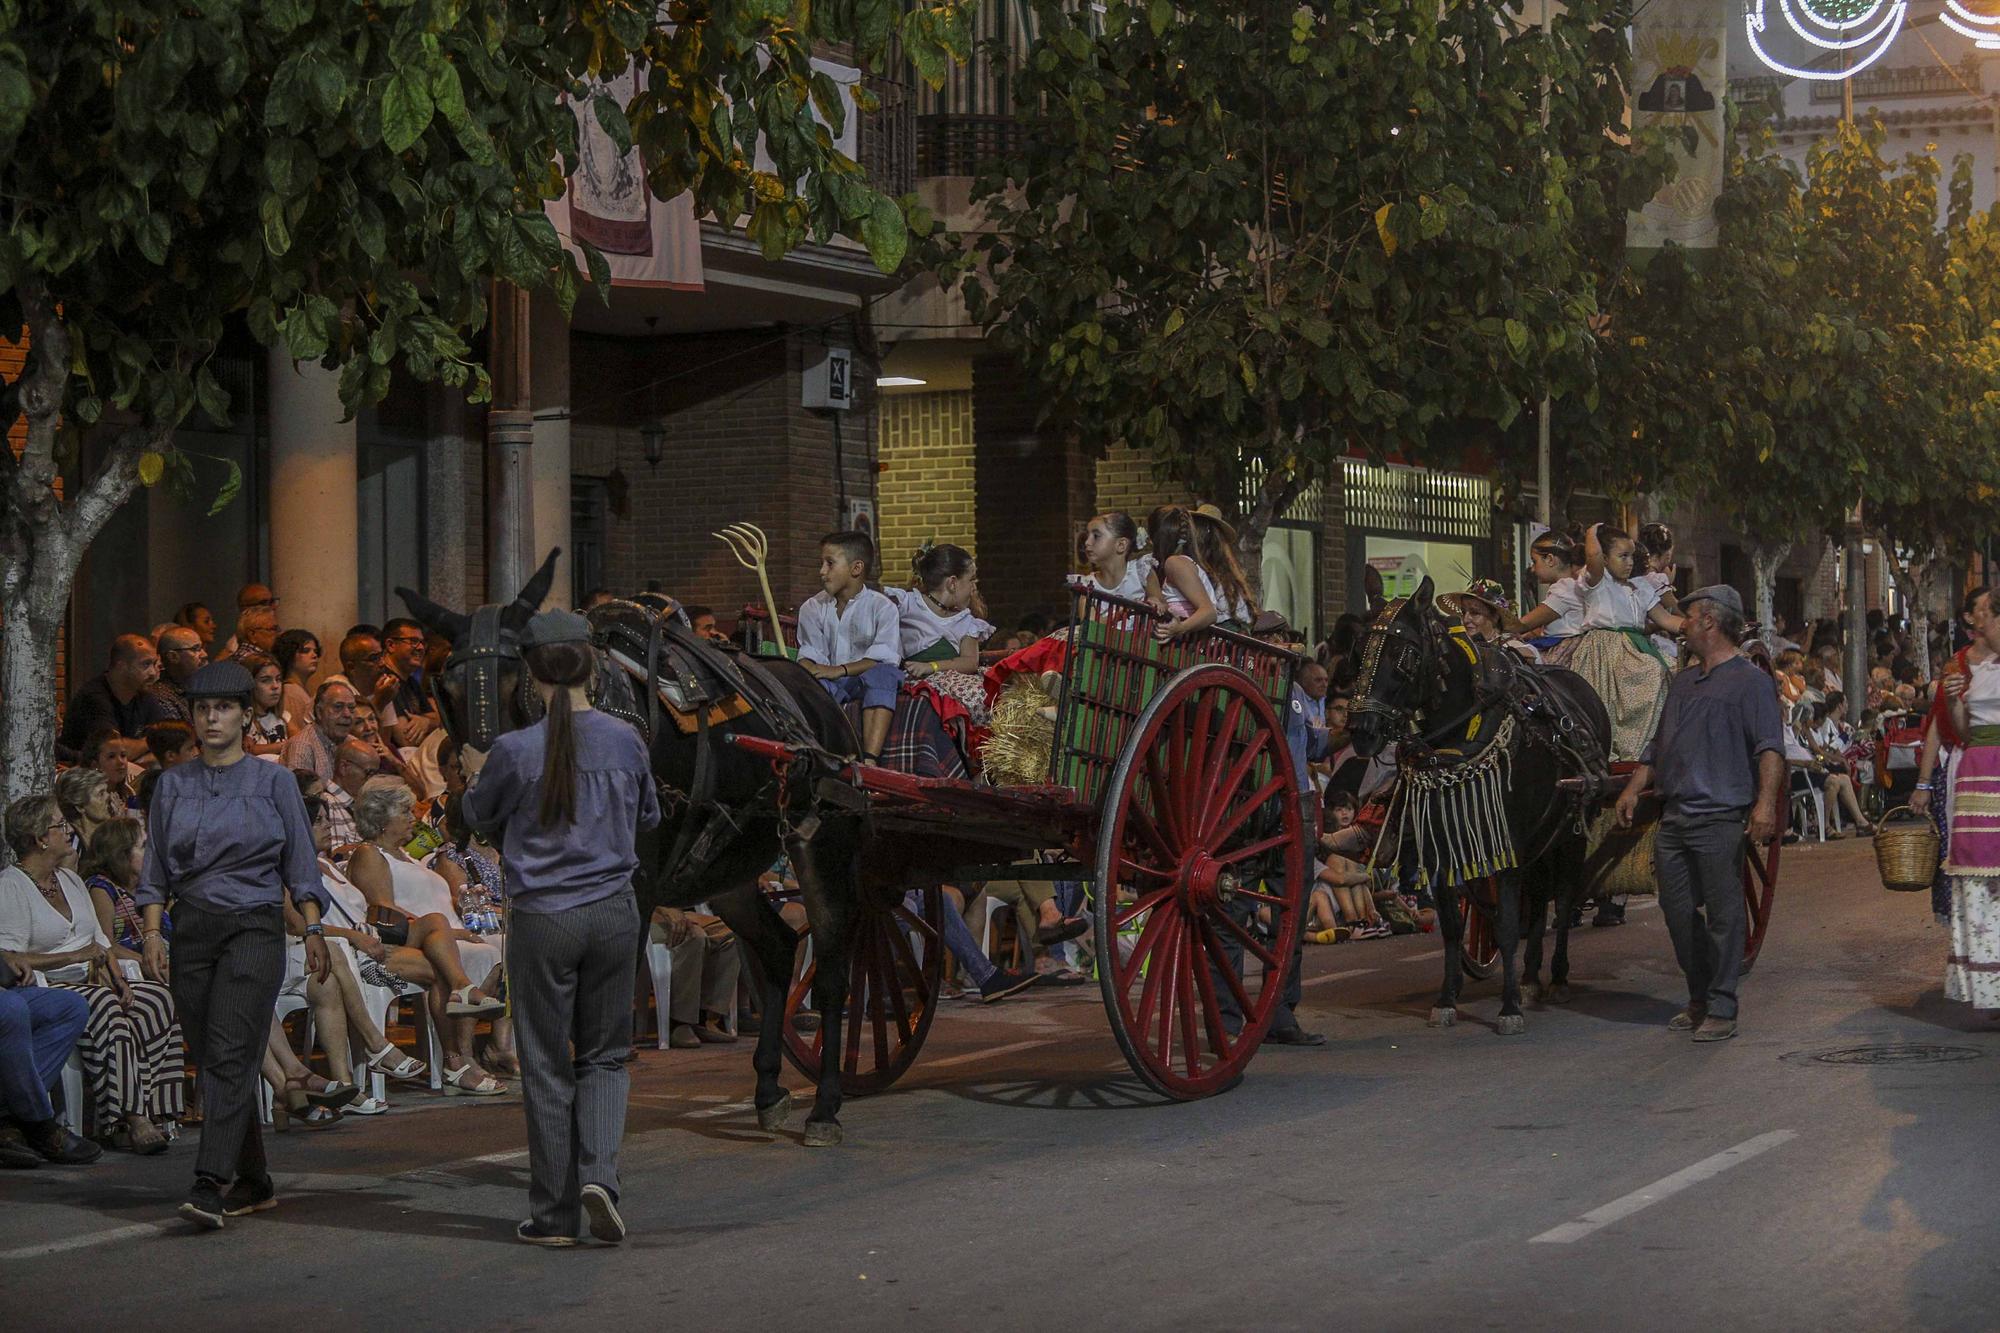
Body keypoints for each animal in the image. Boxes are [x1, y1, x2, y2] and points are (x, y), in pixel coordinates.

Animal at [398, 548, 876, 1144]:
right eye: (448, 687)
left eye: (517, 681)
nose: (478, 795)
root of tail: (815, 696)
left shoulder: (636, 888)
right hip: (726, 868)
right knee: (780, 949)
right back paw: (768, 1090)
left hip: (822, 846)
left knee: (833, 966)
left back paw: (826, 1106)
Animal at [1344, 572, 1608, 1024]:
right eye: (1360, 653)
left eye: (1405, 655)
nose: (1362, 730)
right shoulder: (1440, 845)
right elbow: (1453, 925)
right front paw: (1447, 999)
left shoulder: (1509, 842)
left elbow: (1506, 927)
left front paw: (1509, 1008)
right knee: (1539, 901)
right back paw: (1531, 977)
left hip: (1570, 833)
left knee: (1563, 898)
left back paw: (1556, 977)